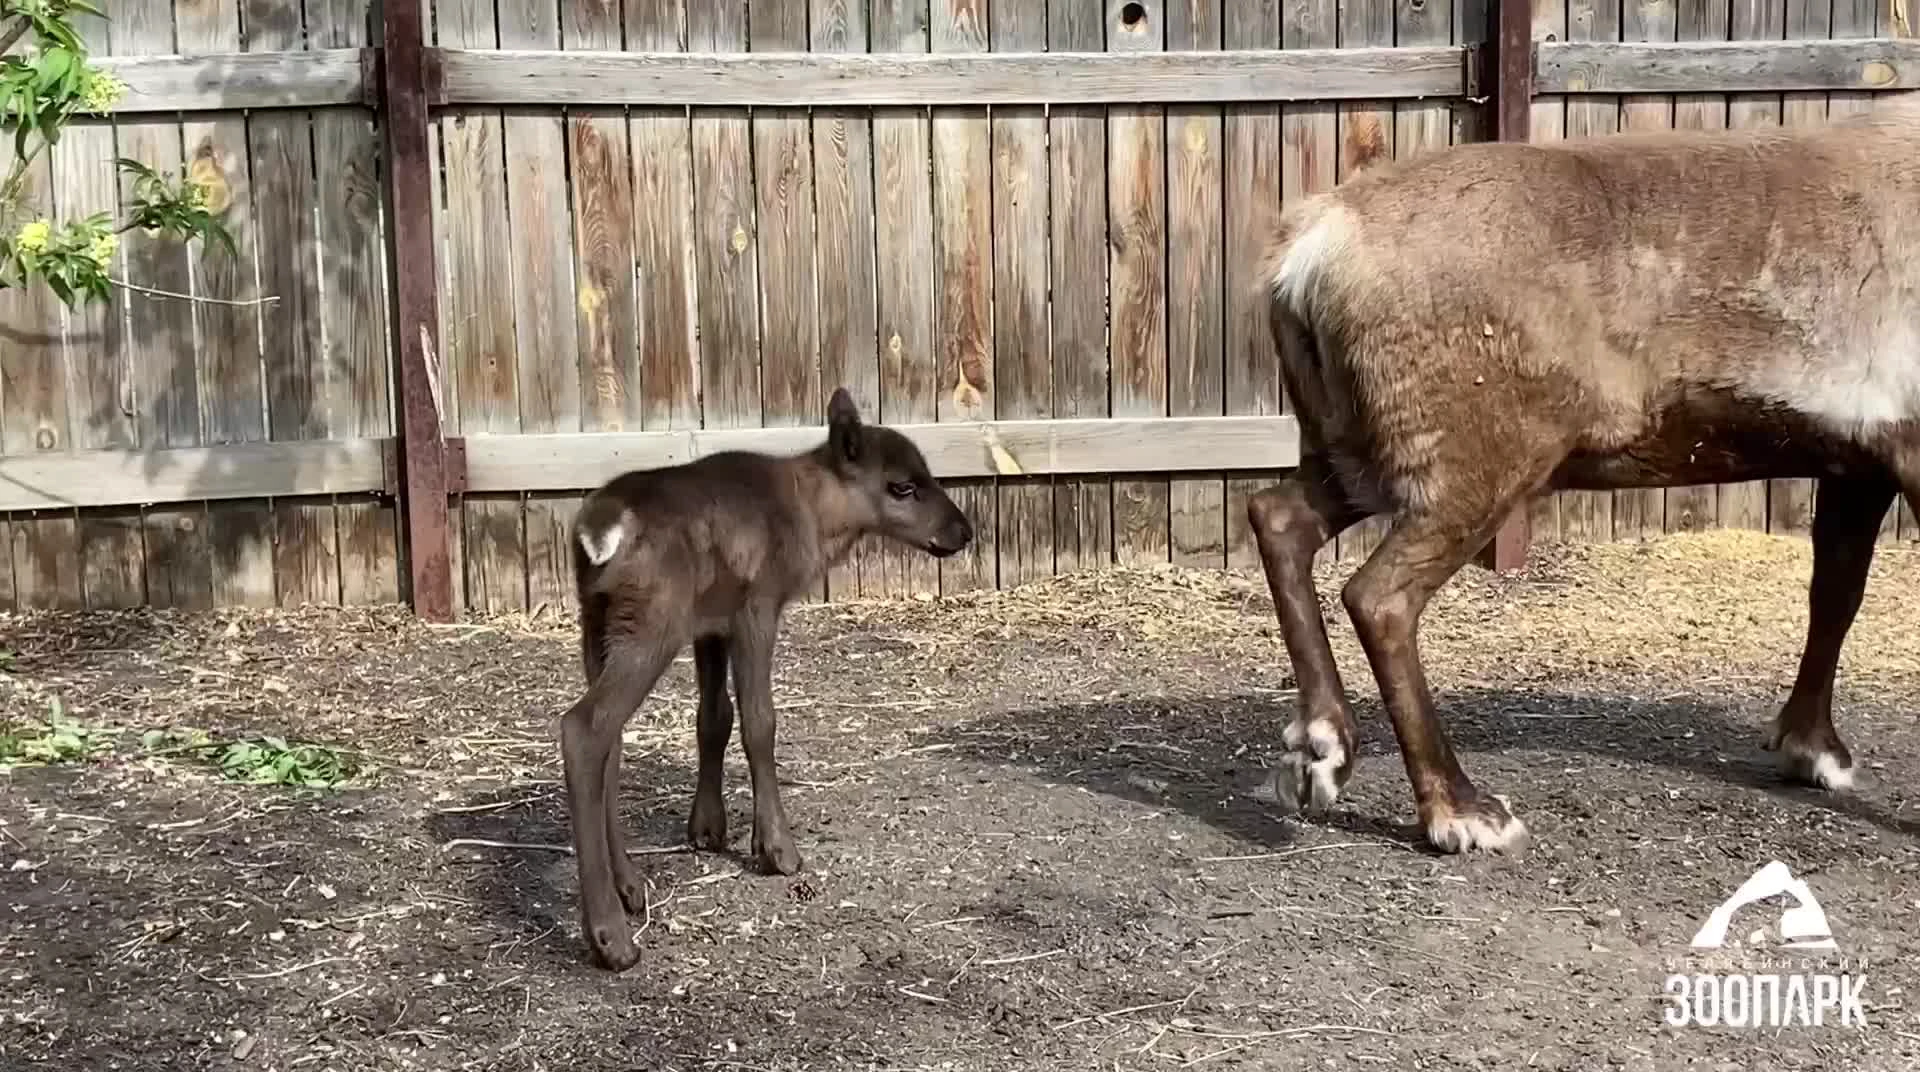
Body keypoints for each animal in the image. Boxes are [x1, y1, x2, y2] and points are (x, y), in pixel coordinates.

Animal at [560, 388, 975, 975]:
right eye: (902, 485)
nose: (962, 532)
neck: (814, 515)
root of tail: (598, 531)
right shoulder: (757, 604)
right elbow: (760, 721)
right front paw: (777, 849)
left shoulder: (710, 622)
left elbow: (713, 718)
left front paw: (707, 829)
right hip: (652, 623)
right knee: (583, 728)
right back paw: (611, 937)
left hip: (596, 624)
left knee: (609, 740)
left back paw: (630, 887)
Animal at [1244, 96, 1920, 860]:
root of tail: (1305, 250)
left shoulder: (1857, 458)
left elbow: (1835, 594)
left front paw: (1813, 750)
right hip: (1477, 460)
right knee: (1379, 595)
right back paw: (1461, 808)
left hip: (1358, 449)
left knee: (1279, 516)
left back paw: (1323, 746)